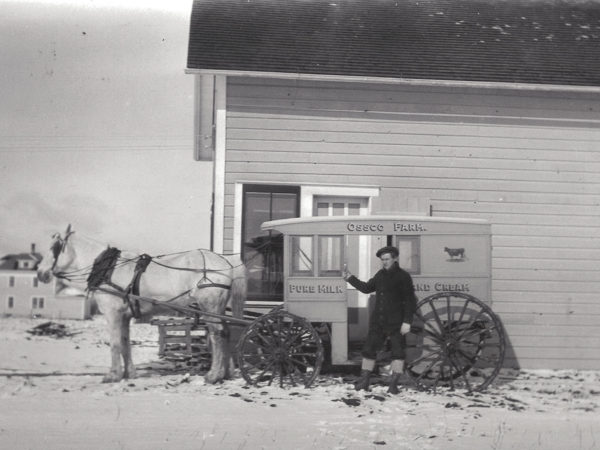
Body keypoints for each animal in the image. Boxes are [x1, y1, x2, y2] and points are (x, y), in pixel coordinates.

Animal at [36, 225, 247, 384]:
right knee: (226, 332)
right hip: (218, 307)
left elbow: (115, 343)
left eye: (54, 247)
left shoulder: (113, 313)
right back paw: (227, 373)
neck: (108, 268)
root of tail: (226, 261)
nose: (40, 273)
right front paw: (129, 374)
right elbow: (124, 342)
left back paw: (213, 375)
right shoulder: (125, 315)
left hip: (209, 306)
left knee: (217, 335)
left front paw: (113, 375)